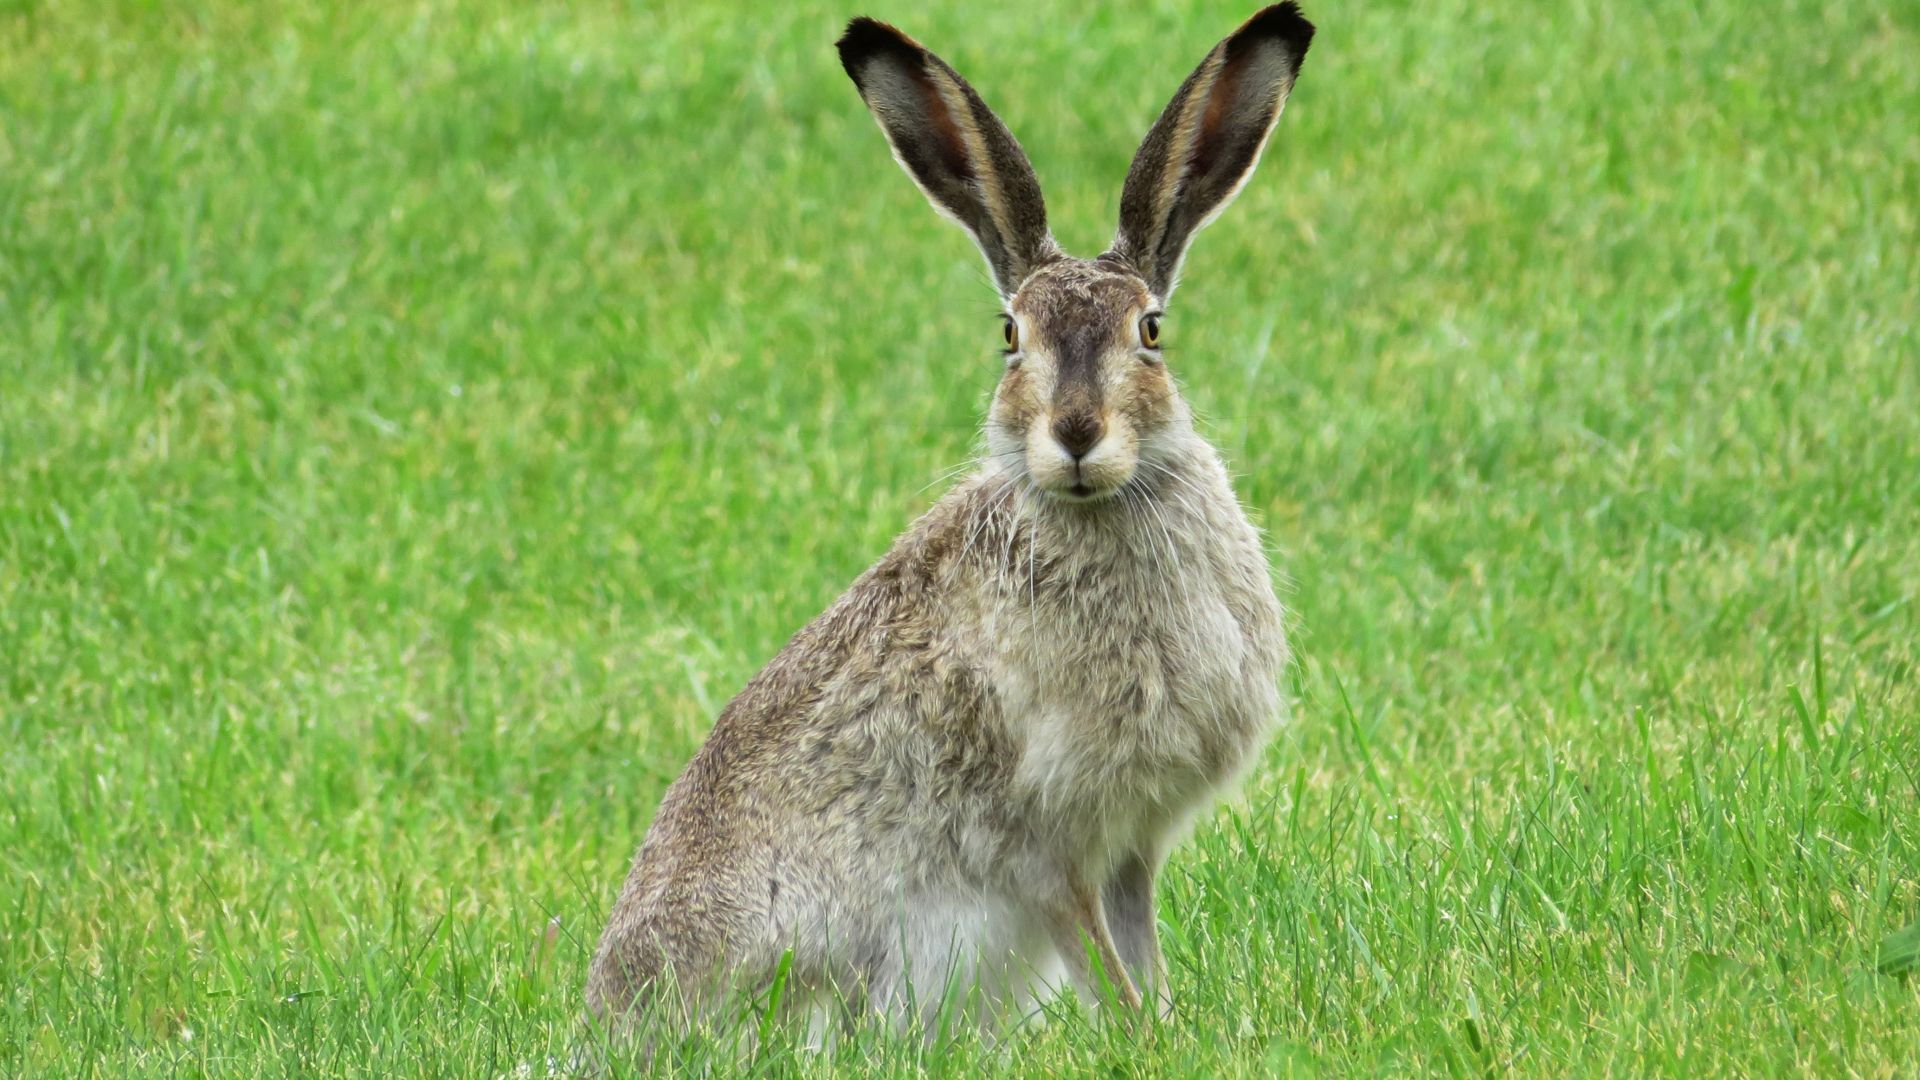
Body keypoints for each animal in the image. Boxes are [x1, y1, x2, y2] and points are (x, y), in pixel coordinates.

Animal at [586, 3, 1313, 1044]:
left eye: (1152, 332)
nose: (1077, 435)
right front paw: (1139, 1038)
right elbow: (1099, 960)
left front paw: (1170, 1032)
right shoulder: (1044, 842)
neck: (1097, 506)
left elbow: (1139, 949)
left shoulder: (1130, 845)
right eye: (1011, 336)